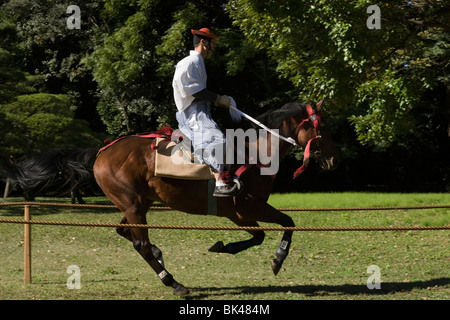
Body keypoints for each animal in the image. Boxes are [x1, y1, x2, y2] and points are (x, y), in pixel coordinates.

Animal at [93, 100, 336, 296]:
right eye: (323, 126)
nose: (334, 160)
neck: (257, 155)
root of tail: (103, 153)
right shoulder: (249, 208)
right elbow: (288, 222)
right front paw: (278, 258)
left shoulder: (239, 215)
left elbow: (260, 236)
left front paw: (223, 246)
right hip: (133, 205)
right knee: (140, 244)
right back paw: (173, 283)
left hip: (139, 204)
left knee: (124, 231)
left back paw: (158, 253)